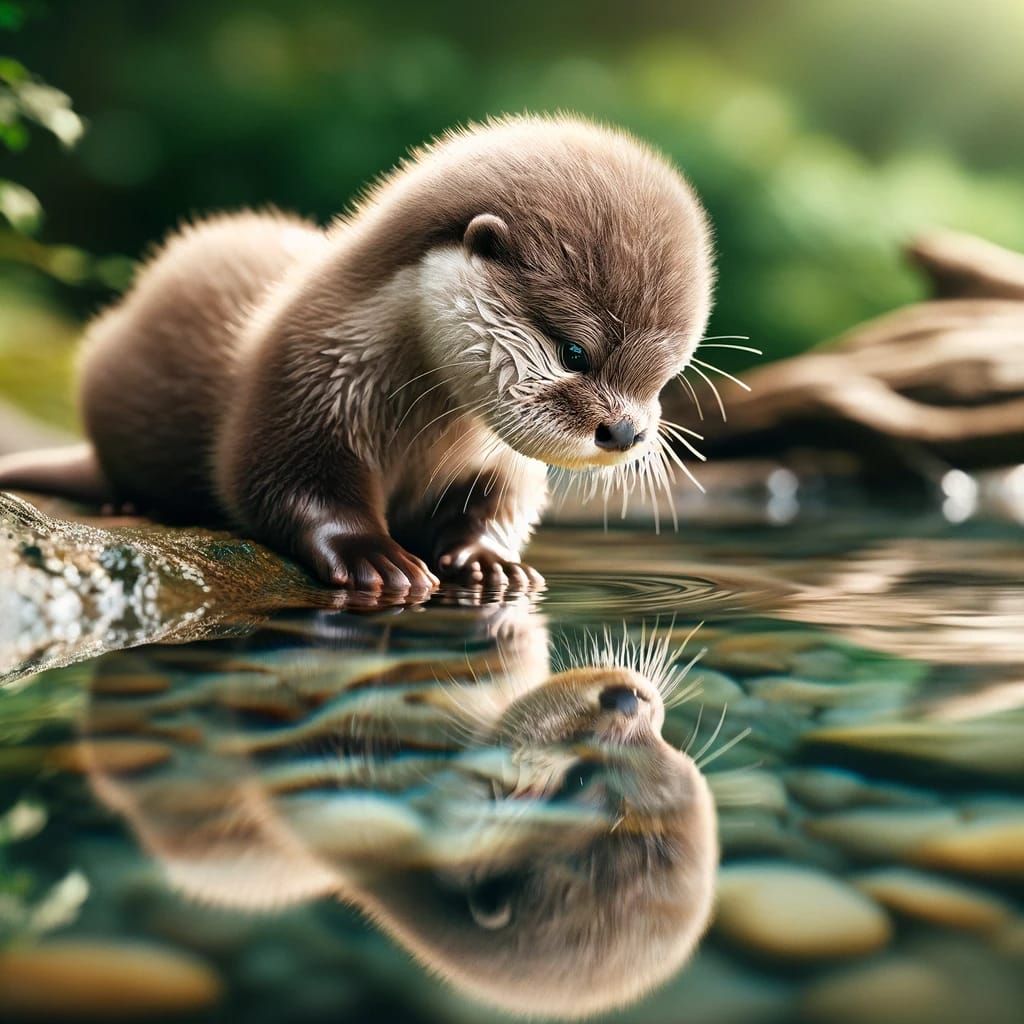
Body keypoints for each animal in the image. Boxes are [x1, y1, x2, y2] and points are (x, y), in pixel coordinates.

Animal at [0, 116, 714, 592]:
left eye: (666, 375)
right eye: (574, 352)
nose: (625, 431)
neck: (424, 427)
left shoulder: (496, 454)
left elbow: (503, 498)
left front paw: (489, 560)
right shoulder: (301, 377)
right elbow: (278, 479)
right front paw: (374, 556)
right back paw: (128, 506)